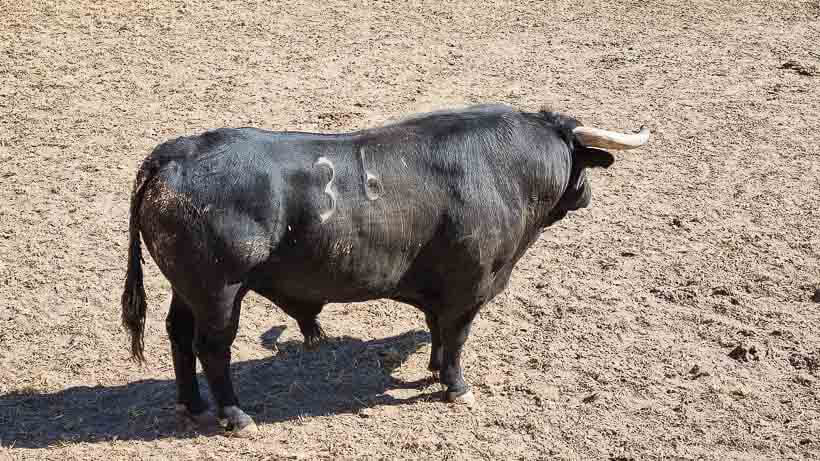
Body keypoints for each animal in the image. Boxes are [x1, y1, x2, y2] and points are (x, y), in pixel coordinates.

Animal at [120, 103, 636, 432]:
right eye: (581, 165)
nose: (587, 195)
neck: (505, 171)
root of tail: (174, 154)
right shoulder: (470, 286)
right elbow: (457, 337)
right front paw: (456, 386)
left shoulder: (440, 289)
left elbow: (437, 329)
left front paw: (433, 368)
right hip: (220, 291)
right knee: (212, 348)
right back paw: (234, 415)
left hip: (187, 289)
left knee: (178, 334)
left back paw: (192, 404)